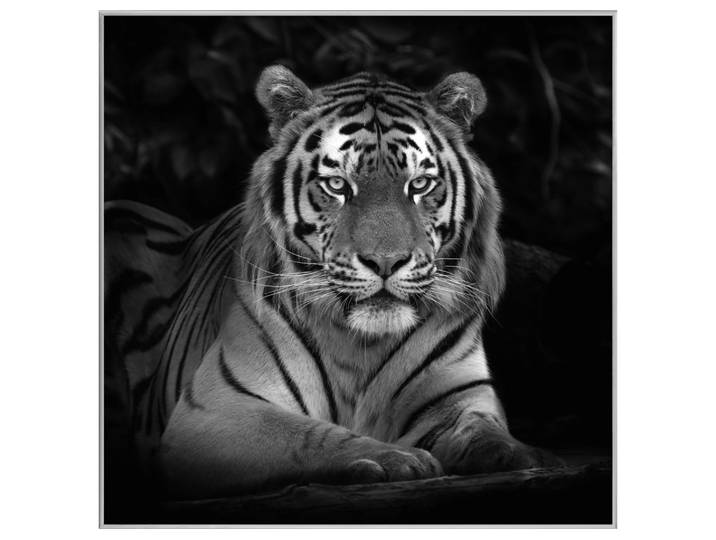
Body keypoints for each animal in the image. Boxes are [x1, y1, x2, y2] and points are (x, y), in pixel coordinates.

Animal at [104, 65, 561, 499]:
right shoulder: (218, 408)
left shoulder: (458, 398)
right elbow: (306, 435)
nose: (385, 261)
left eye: (419, 184)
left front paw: (522, 455)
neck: (363, 345)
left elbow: (483, 430)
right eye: (338, 185)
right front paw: (395, 458)